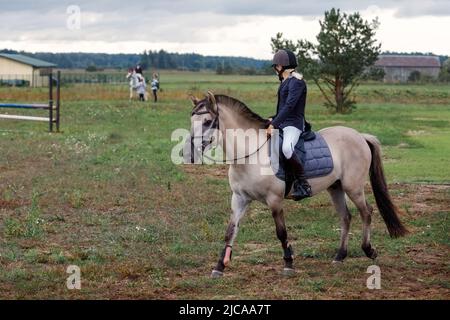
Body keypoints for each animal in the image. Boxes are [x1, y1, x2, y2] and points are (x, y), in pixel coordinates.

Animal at [185, 90, 410, 278]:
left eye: (207, 121)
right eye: (191, 120)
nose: (189, 154)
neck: (251, 155)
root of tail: (360, 136)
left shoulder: (275, 200)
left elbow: (281, 232)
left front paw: (288, 263)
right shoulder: (239, 199)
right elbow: (230, 231)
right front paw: (219, 267)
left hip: (353, 188)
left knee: (367, 212)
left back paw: (369, 250)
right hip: (335, 188)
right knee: (346, 217)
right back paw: (339, 256)